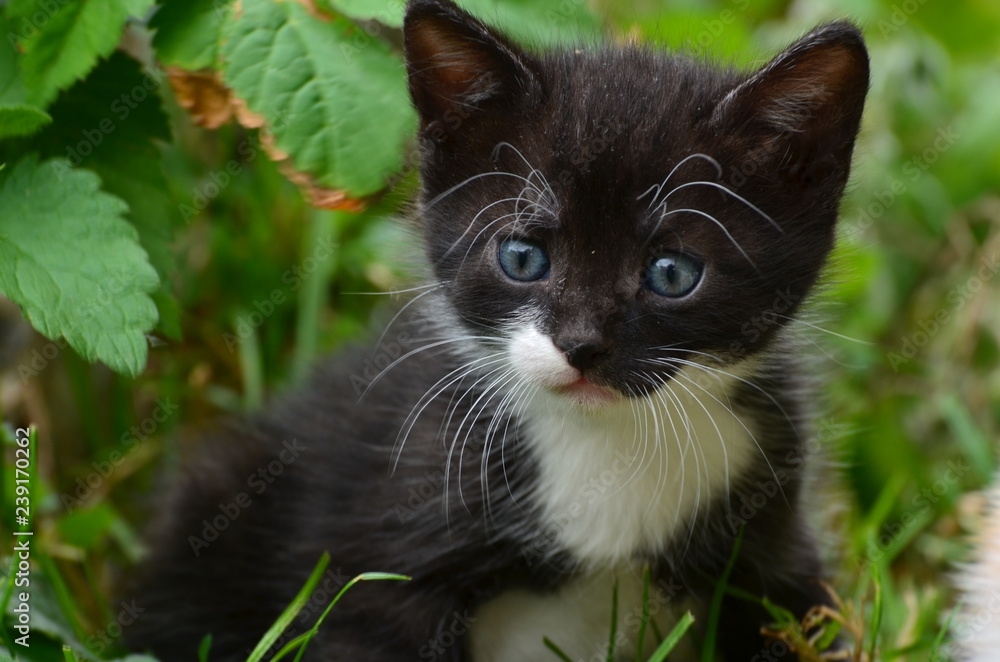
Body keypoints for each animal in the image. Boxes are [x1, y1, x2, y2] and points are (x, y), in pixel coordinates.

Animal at [131, 2, 868, 660]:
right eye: (522, 258)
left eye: (671, 272)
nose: (582, 345)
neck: (605, 443)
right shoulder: (385, 553)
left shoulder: (772, 535)